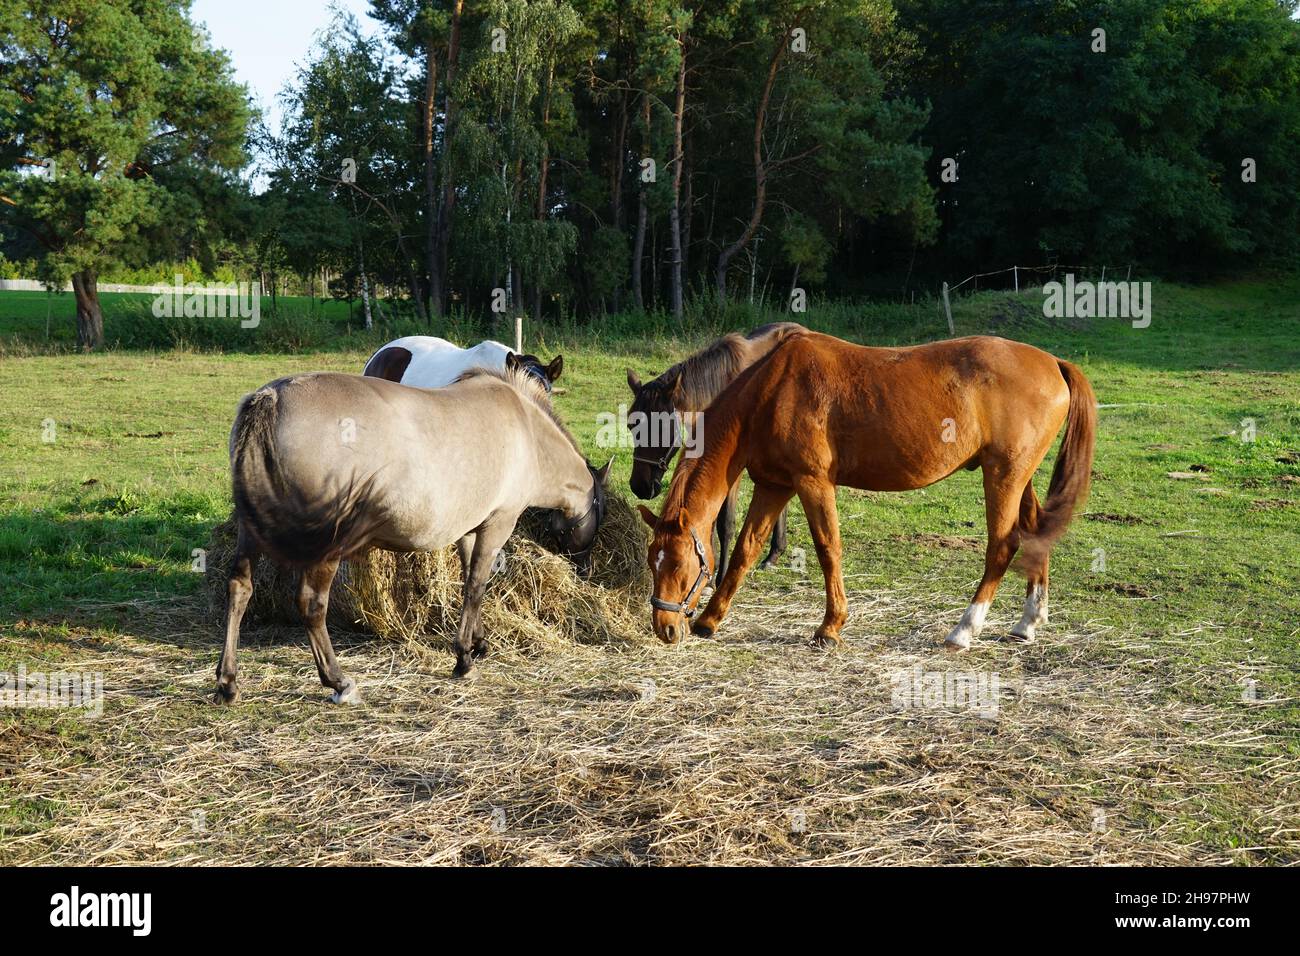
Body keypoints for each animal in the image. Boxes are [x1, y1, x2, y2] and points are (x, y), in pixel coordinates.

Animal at [215, 369, 611, 702]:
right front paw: (464, 659)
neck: (528, 432)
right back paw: (338, 682)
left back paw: (228, 683)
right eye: (601, 512)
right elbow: (476, 586)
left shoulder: (469, 529)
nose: (585, 566)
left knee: (239, 588)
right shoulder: (498, 523)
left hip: (251, 532)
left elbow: (471, 585)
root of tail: (271, 399)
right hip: (326, 544)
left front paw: (477, 643)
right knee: (311, 605)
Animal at [626, 321, 806, 580]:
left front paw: (720, 576)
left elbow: (725, 522)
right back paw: (774, 553)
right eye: (630, 425)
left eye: (661, 426)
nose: (639, 486)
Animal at [639, 332, 1097, 655]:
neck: (770, 392)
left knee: (1002, 547)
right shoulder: (774, 485)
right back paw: (1027, 623)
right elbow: (745, 551)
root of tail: (1053, 363)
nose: (665, 629)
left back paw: (964, 630)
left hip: (1003, 476)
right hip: (1018, 477)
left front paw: (830, 627)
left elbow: (828, 549)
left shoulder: (812, 482)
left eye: (678, 564)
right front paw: (710, 620)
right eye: (651, 560)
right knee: (1036, 533)